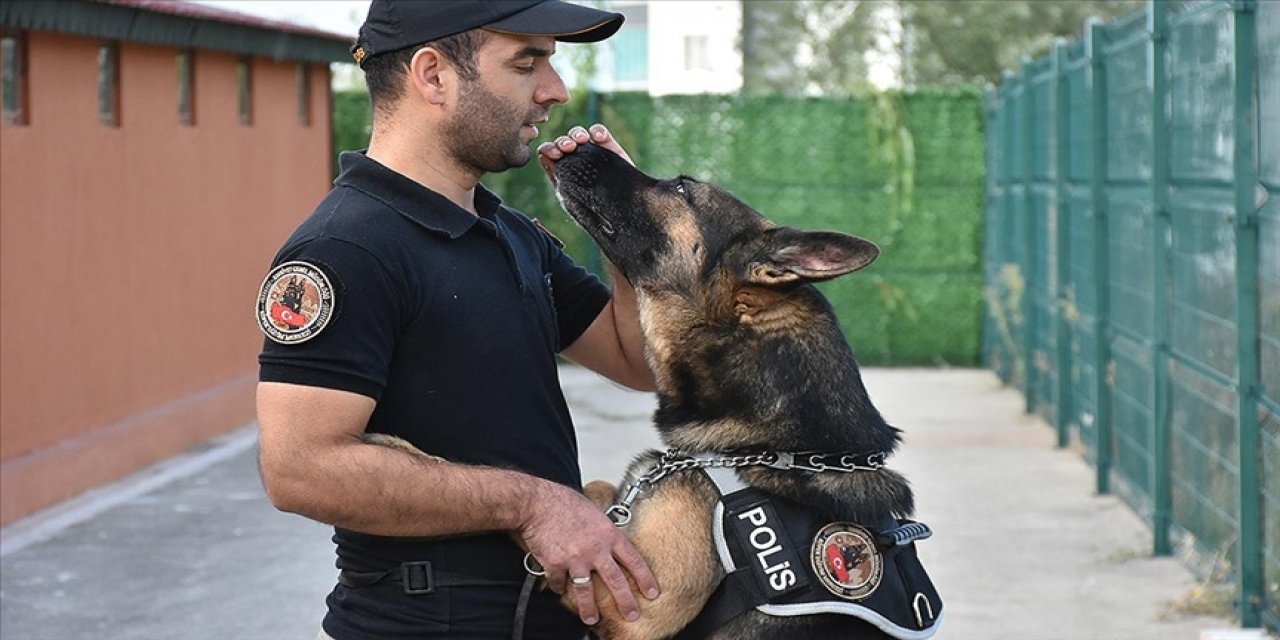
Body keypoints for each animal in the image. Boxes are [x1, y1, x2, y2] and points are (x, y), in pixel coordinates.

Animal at [552, 145, 942, 640]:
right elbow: (601, 489)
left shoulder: (633, 610)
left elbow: (583, 525)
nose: (578, 145)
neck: (778, 446)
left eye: (682, 187)